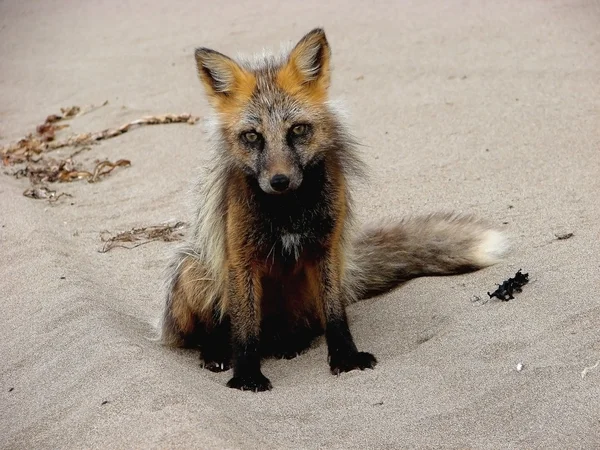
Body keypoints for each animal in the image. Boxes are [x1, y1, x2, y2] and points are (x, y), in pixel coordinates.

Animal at [159, 28, 506, 392]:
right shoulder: (240, 257)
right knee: (213, 331)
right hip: (194, 268)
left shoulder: (326, 249)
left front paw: (346, 358)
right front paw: (247, 376)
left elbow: (337, 316)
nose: (279, 181)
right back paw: (216, 351)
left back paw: (290, 344)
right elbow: (244, 329)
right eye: (252, 136)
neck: (288, 214)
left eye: (297, 130)